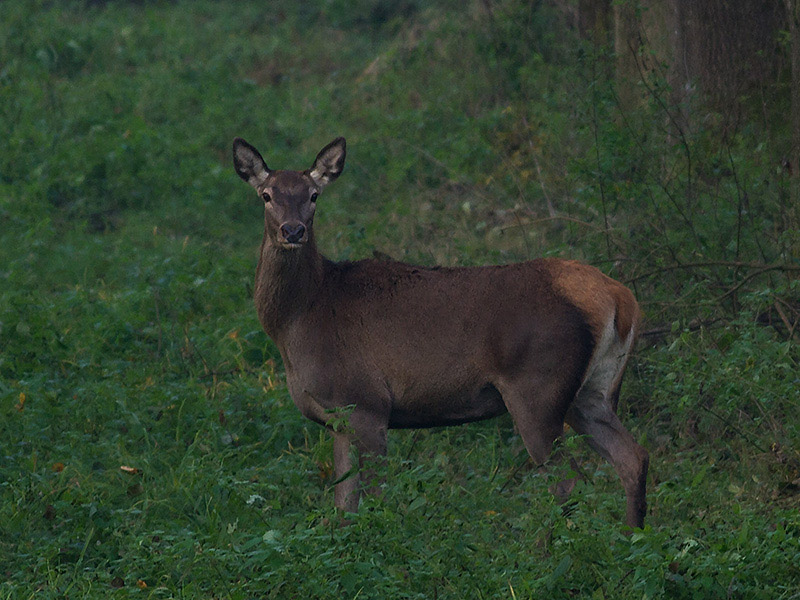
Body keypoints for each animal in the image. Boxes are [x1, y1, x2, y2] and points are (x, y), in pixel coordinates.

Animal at [233, 135, 648, 524]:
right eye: (266, 195)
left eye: (314, 195)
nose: (293, 230)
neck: (300, 321)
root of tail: (620, 297)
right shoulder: (339, 420)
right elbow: (343, 505)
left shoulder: (366, 403)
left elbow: (374, 498)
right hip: (594, 390)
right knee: (633, 457)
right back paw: (633, 535)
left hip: (538, 387)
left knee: (568, 480)